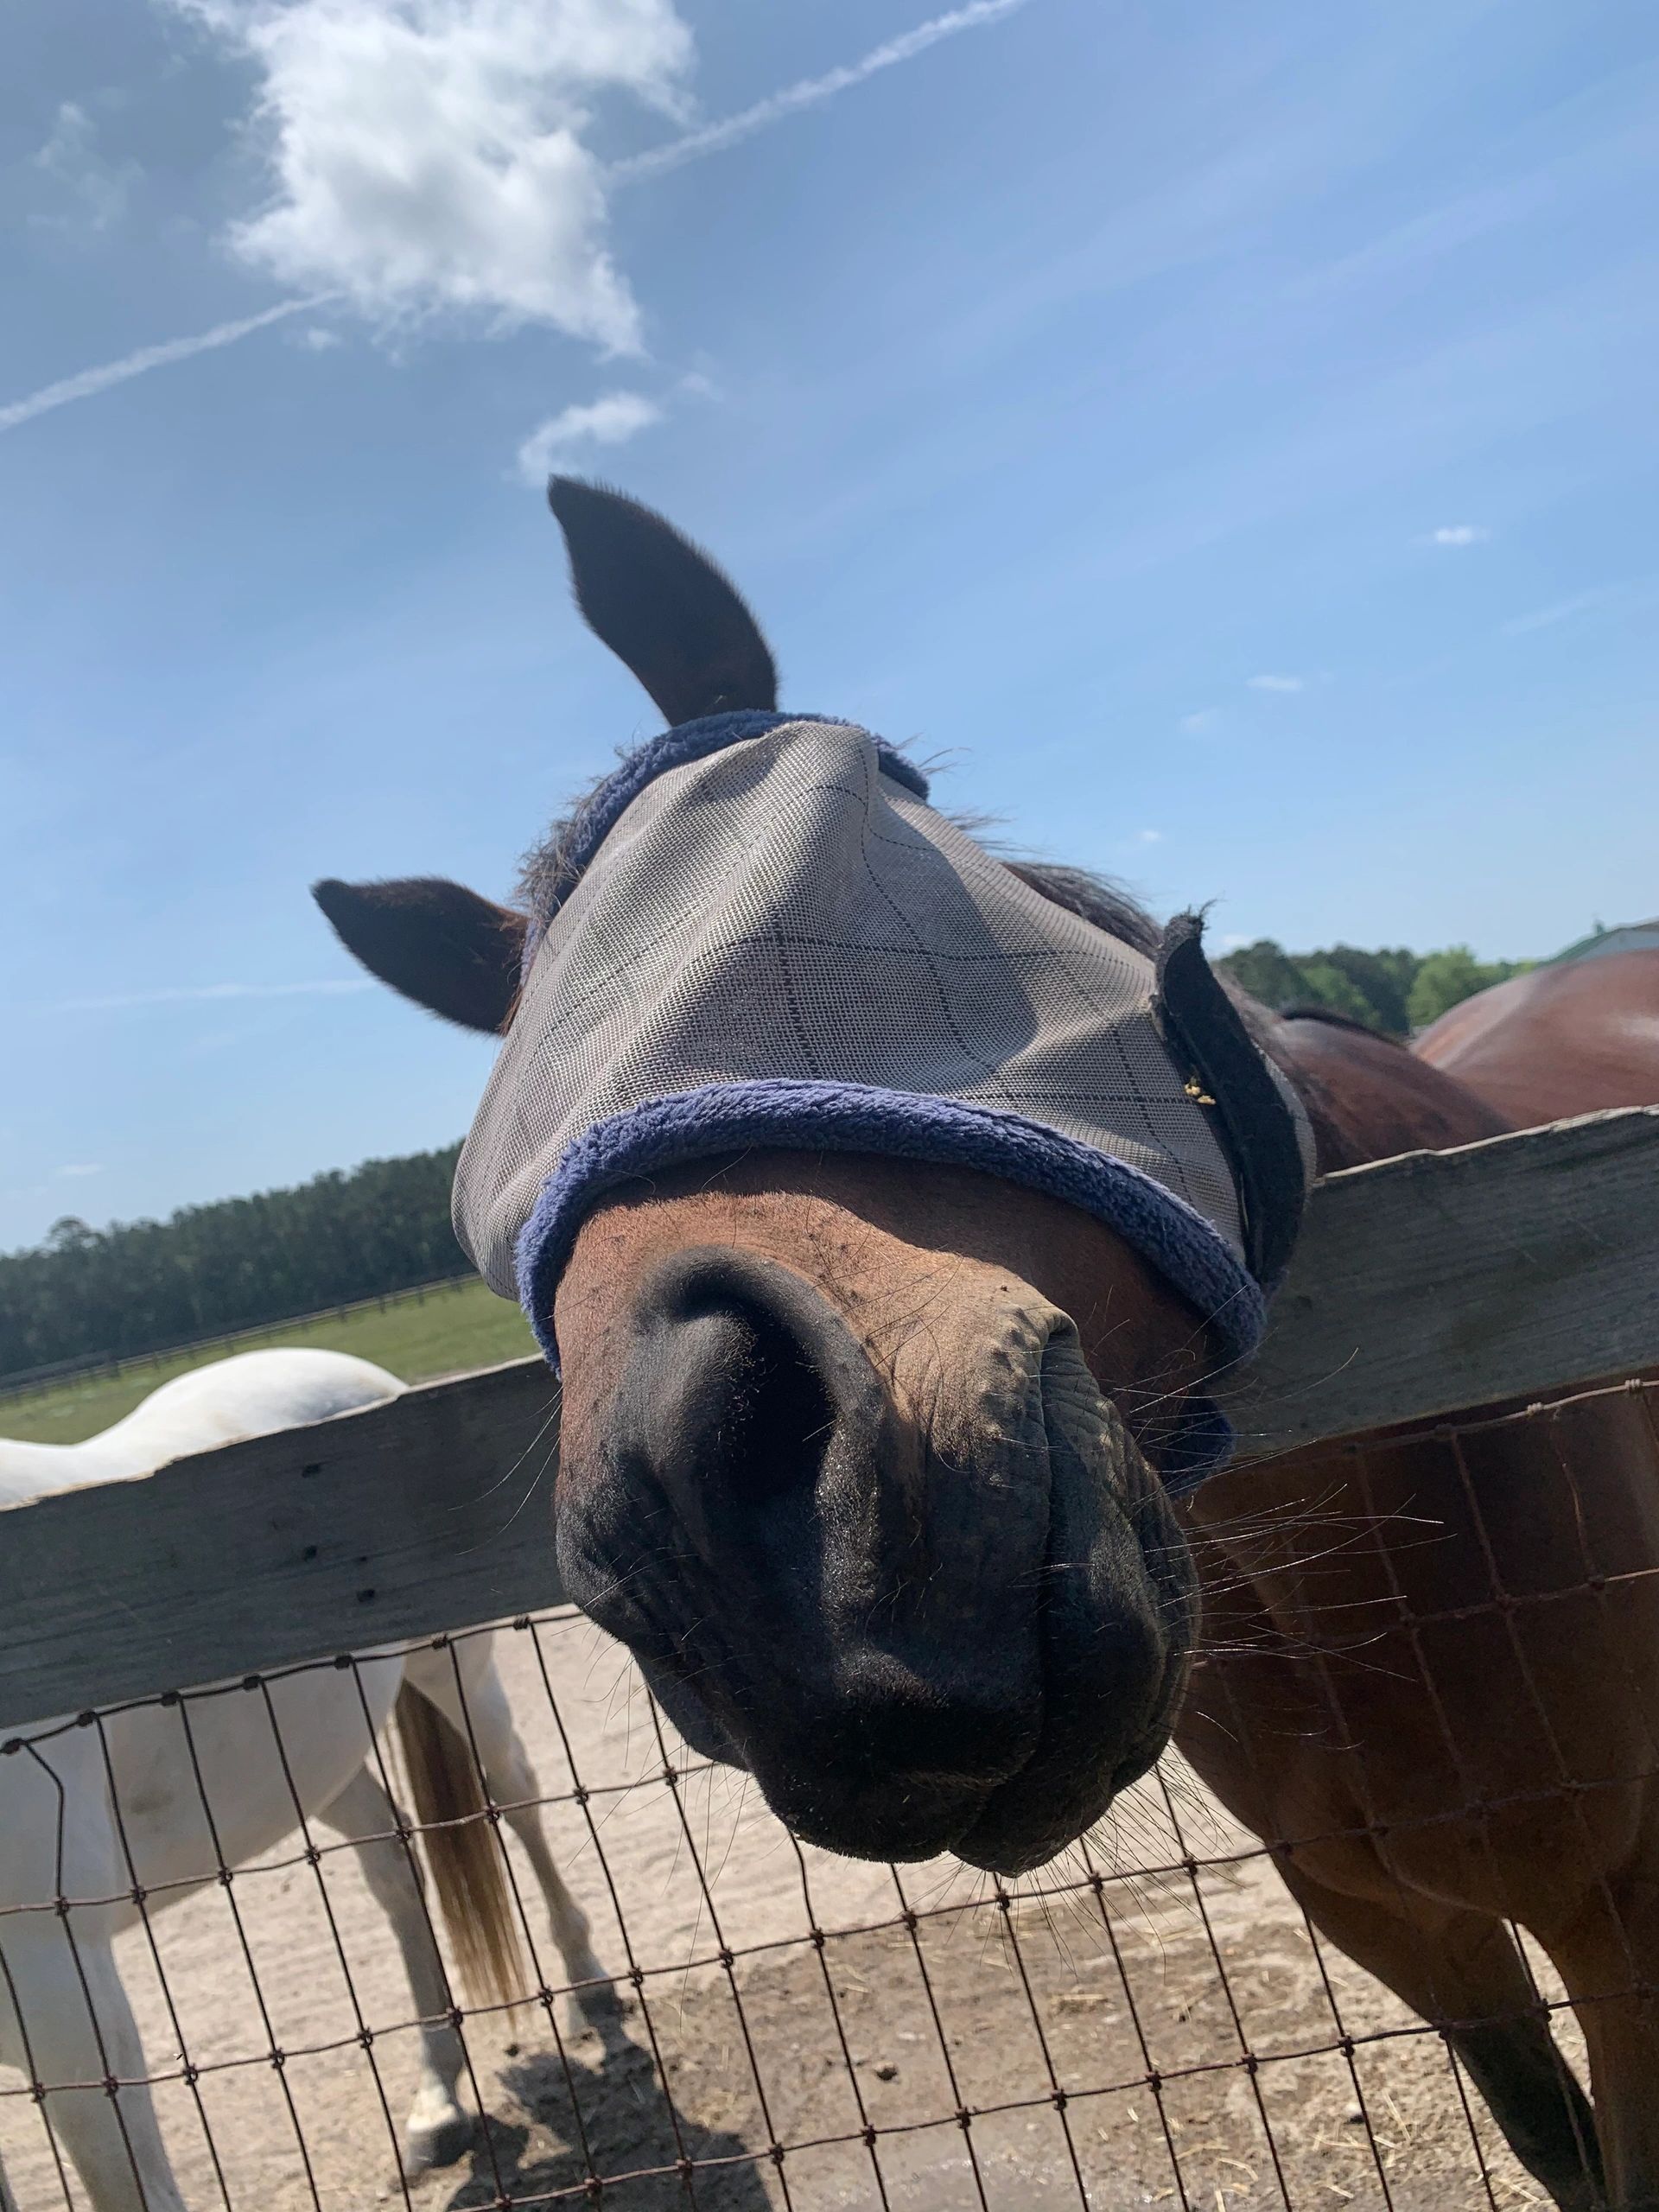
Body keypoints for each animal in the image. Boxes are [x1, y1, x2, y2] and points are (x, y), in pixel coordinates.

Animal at [0, 1349, 605, 2211]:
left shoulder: (58, 1984)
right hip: (314, 1764)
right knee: (392, 1864)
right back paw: (437, 2101)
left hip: (453, 1666)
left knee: (516, 1790)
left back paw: (584, 1976)